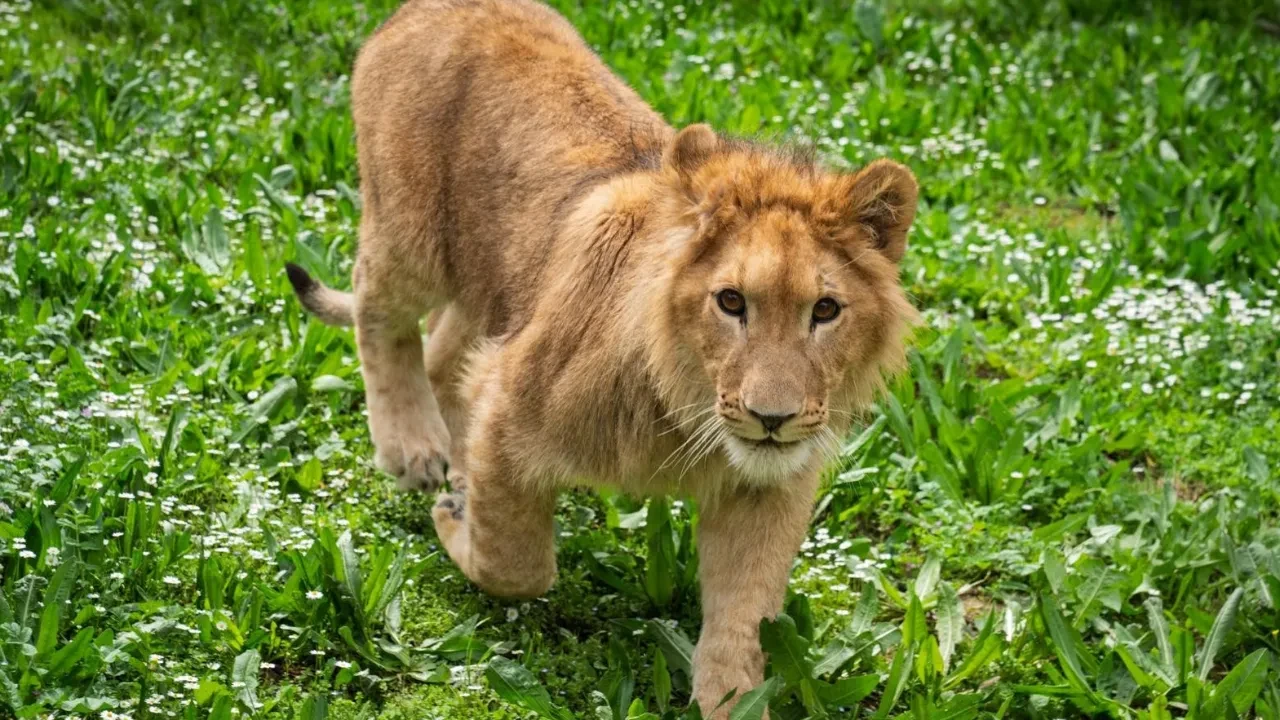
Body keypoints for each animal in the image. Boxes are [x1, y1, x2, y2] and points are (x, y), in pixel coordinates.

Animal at [285, 0, 916, 712]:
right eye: (731, 302)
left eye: (826, 311)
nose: (772, 419)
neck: (684, 411)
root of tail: (430, 7)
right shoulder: (507, 404)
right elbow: (518, 564)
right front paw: (456, 522)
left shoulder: (766, 485)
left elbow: (744, 616)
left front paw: (729, 697)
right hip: (409, 233)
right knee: (376, 309)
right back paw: (414, 449)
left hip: (492, 281)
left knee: (444, 350)